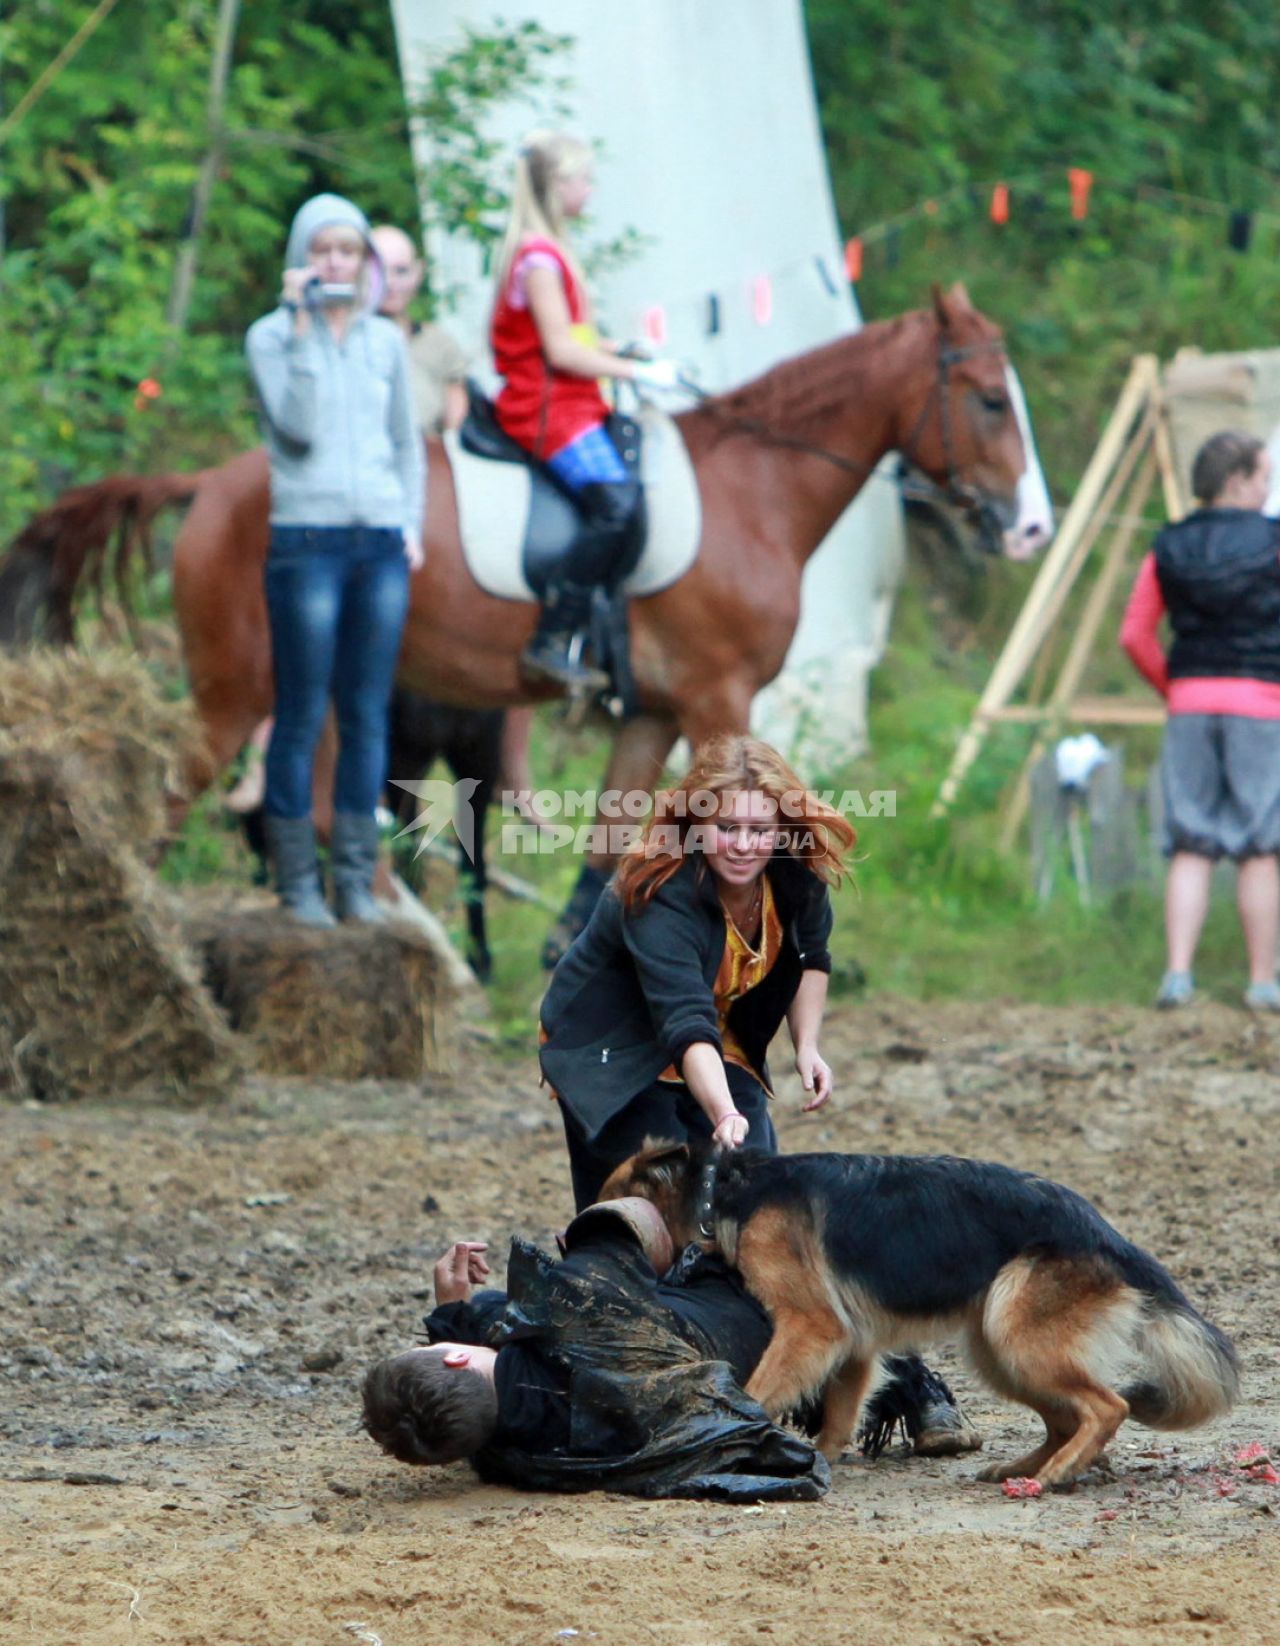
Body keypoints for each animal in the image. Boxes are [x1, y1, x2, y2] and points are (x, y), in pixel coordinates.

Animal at [0, 283, 1039, 954]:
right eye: (990, 400)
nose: (1030, 526)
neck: (755, 489)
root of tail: (213, 482)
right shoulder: (720, 700)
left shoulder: (653, 711)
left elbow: (614, 840)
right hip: (238, 686)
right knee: (176, 794)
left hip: (335, 687)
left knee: (328, 798)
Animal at [598, 1145, 1237, 1481]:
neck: (723, 1193)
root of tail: (1108, 1234)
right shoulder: (852, 1345)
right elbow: (840, 1411)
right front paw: (817, 1457)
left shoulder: (811, 1327)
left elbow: (758, 1388)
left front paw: (744, 1430)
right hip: (998, 1352)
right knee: (1065, 1417)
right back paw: (1026, 1468)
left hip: (1018, 1341)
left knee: (1108, 1406)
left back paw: (1055, 1474)